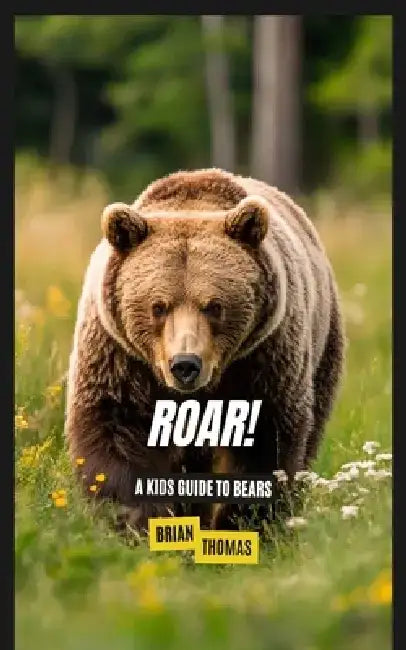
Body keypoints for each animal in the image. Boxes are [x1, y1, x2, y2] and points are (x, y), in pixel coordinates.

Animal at [65, 168, 345, 532]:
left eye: (214, 306)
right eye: (158, 306)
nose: (185, 364)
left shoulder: (262, 357)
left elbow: (263, 440)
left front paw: (243, 523)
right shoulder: (121, 357)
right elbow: (117, 430)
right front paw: (136, 522)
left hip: (323, 345)